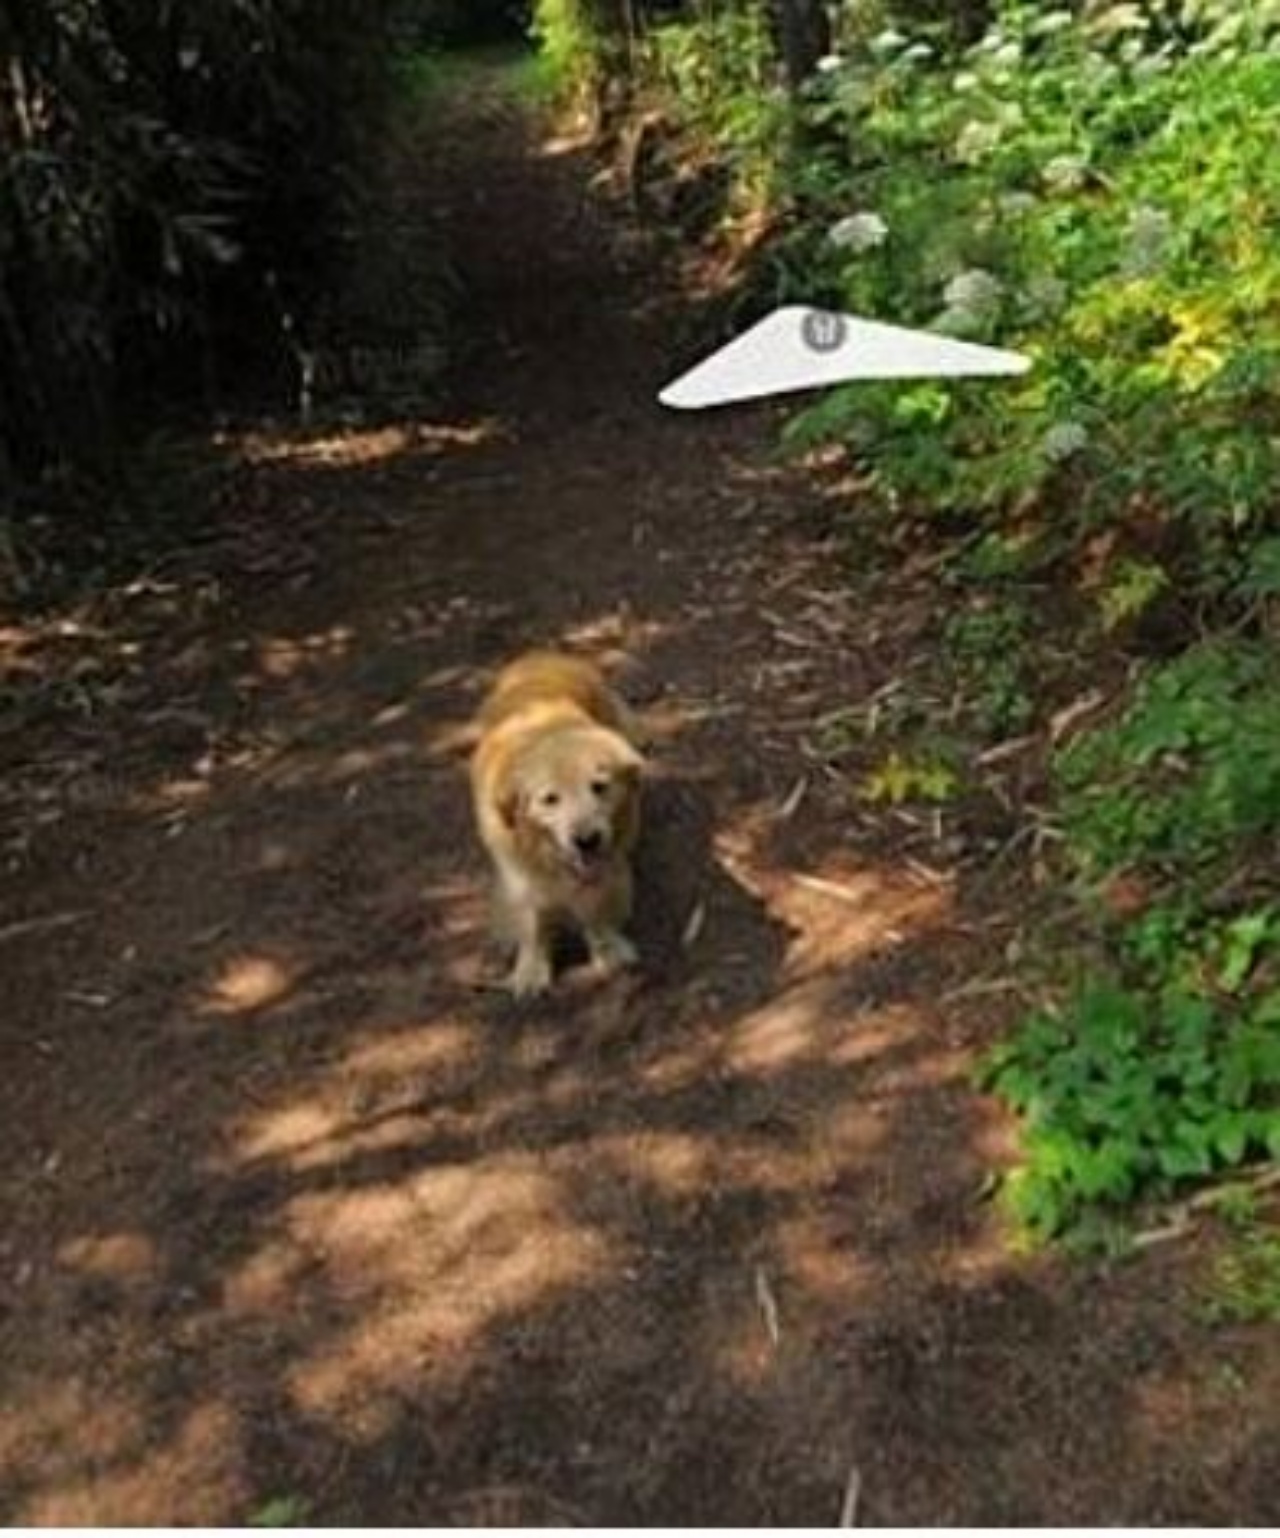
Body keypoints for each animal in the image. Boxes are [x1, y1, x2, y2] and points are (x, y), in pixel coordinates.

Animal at [470, 649, 646, 996]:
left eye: (600, 787)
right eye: (550, 799)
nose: (587, 840)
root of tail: (543, 653)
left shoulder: (605, 867)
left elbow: (596, 913)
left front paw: (606, 949)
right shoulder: (521, 876)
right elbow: (534, 923)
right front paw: (531, 969)